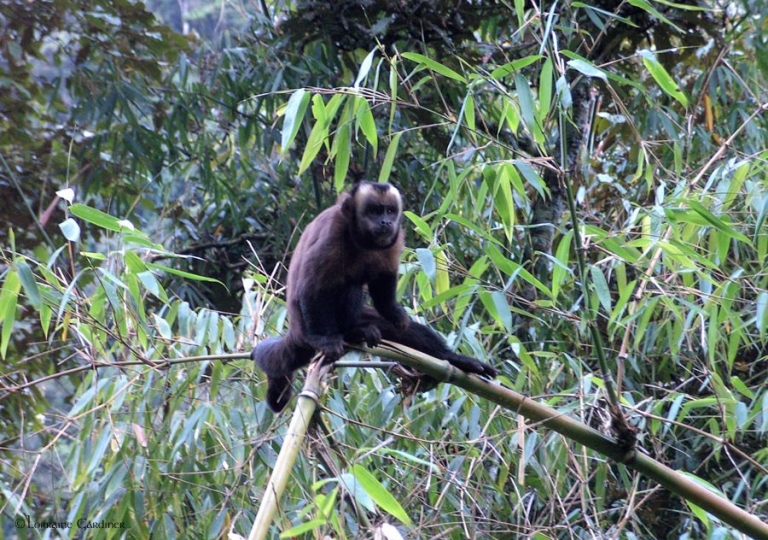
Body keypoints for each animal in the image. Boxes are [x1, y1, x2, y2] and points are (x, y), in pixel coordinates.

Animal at [252, 179, 498, 412]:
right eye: (374, 211)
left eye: (389, 211)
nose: (385, 222)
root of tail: (293, 333)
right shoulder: (332, 233)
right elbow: (312, 288)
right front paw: (323, 339)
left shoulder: (394, 240)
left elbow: (385, 292)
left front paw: (394, 312)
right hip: (307, 329)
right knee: (344, 287)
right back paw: (352, 332)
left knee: (405, 333)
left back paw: (454, 360)